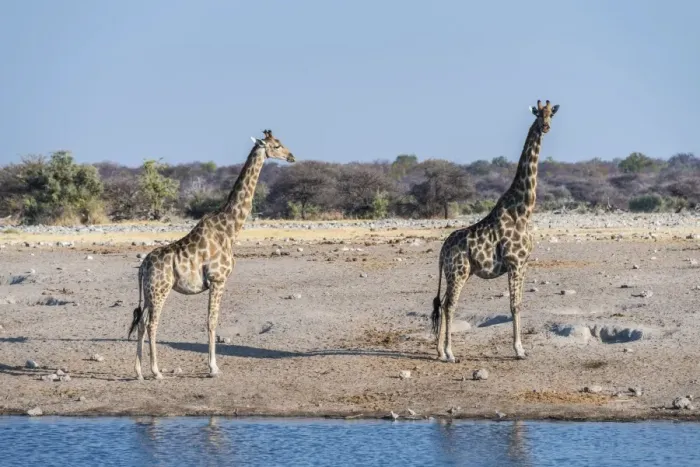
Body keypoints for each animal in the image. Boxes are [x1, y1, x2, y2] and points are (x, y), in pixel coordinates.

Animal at [128, 129, 296, 380]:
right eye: (276, 145)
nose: (292, 157)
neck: (230, 228)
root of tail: (143, 267)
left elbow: (211, 321)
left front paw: (213, 365)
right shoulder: (218, 279)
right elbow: (211, 322)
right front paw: (213, 368)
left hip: (148, 293)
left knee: (141, 322)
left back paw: (138, 372)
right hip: (160, 290)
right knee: (151, 324)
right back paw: (156, 371)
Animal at [431, 100, 560, 362]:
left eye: (551, 114)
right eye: (538, 114)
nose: (546, 127)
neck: (523, 209)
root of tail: (442, 251)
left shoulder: (525, 263)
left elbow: (519, 303)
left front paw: (521, 348)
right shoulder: (515, 262)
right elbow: (514, 305)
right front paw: (519, 350)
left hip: (457, 273)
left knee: (443, 304)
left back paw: (439, 351)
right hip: (458, 271)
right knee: (449, 305)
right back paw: (450, 352)